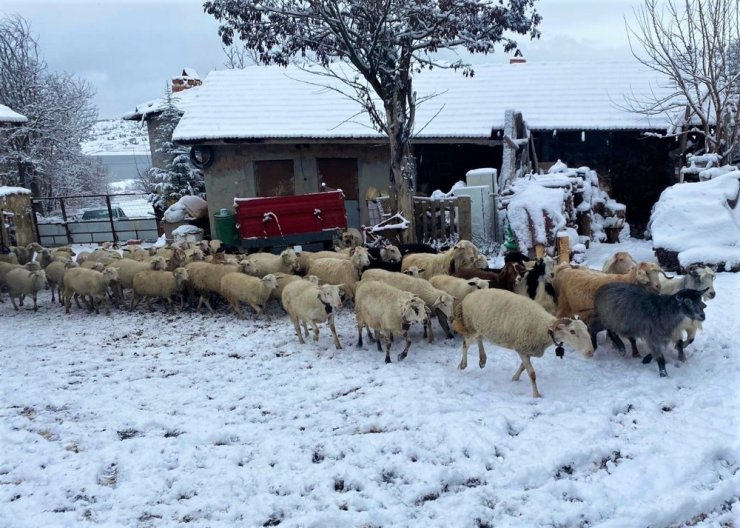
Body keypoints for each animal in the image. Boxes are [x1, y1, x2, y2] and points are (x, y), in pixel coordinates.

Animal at [454, 288, 592, 396]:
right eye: (572, 331)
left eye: (586, 329)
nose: (590, 352)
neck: (543, 328)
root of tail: (468, 297)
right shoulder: (522, 349)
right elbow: (532, 374)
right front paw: (536, 395)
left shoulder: (526, 349)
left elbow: (523, 367)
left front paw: (515, 378)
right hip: (471, 326)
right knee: (466, 344)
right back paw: (463, 364)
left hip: (479, 327)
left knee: (479, 339)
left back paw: (482, 360)